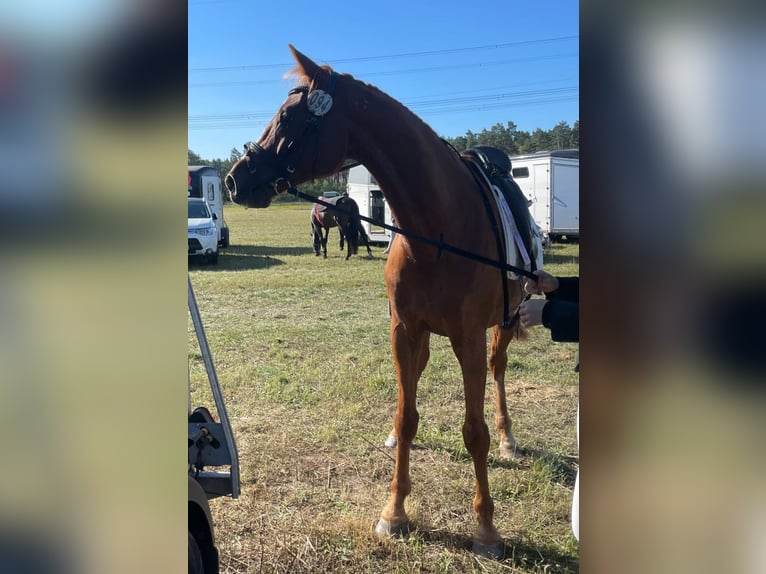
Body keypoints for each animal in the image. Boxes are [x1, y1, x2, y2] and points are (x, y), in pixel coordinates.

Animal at [225, 46, 540, 564]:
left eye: (289, 117)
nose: (234, 180)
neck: (438, 228)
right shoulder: (404, 329)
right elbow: (406, 418)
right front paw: (395, 511)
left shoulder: (470, 338)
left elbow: (474, 431)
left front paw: (486, 528)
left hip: (503, 324)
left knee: (498, 370)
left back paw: (509, 437)